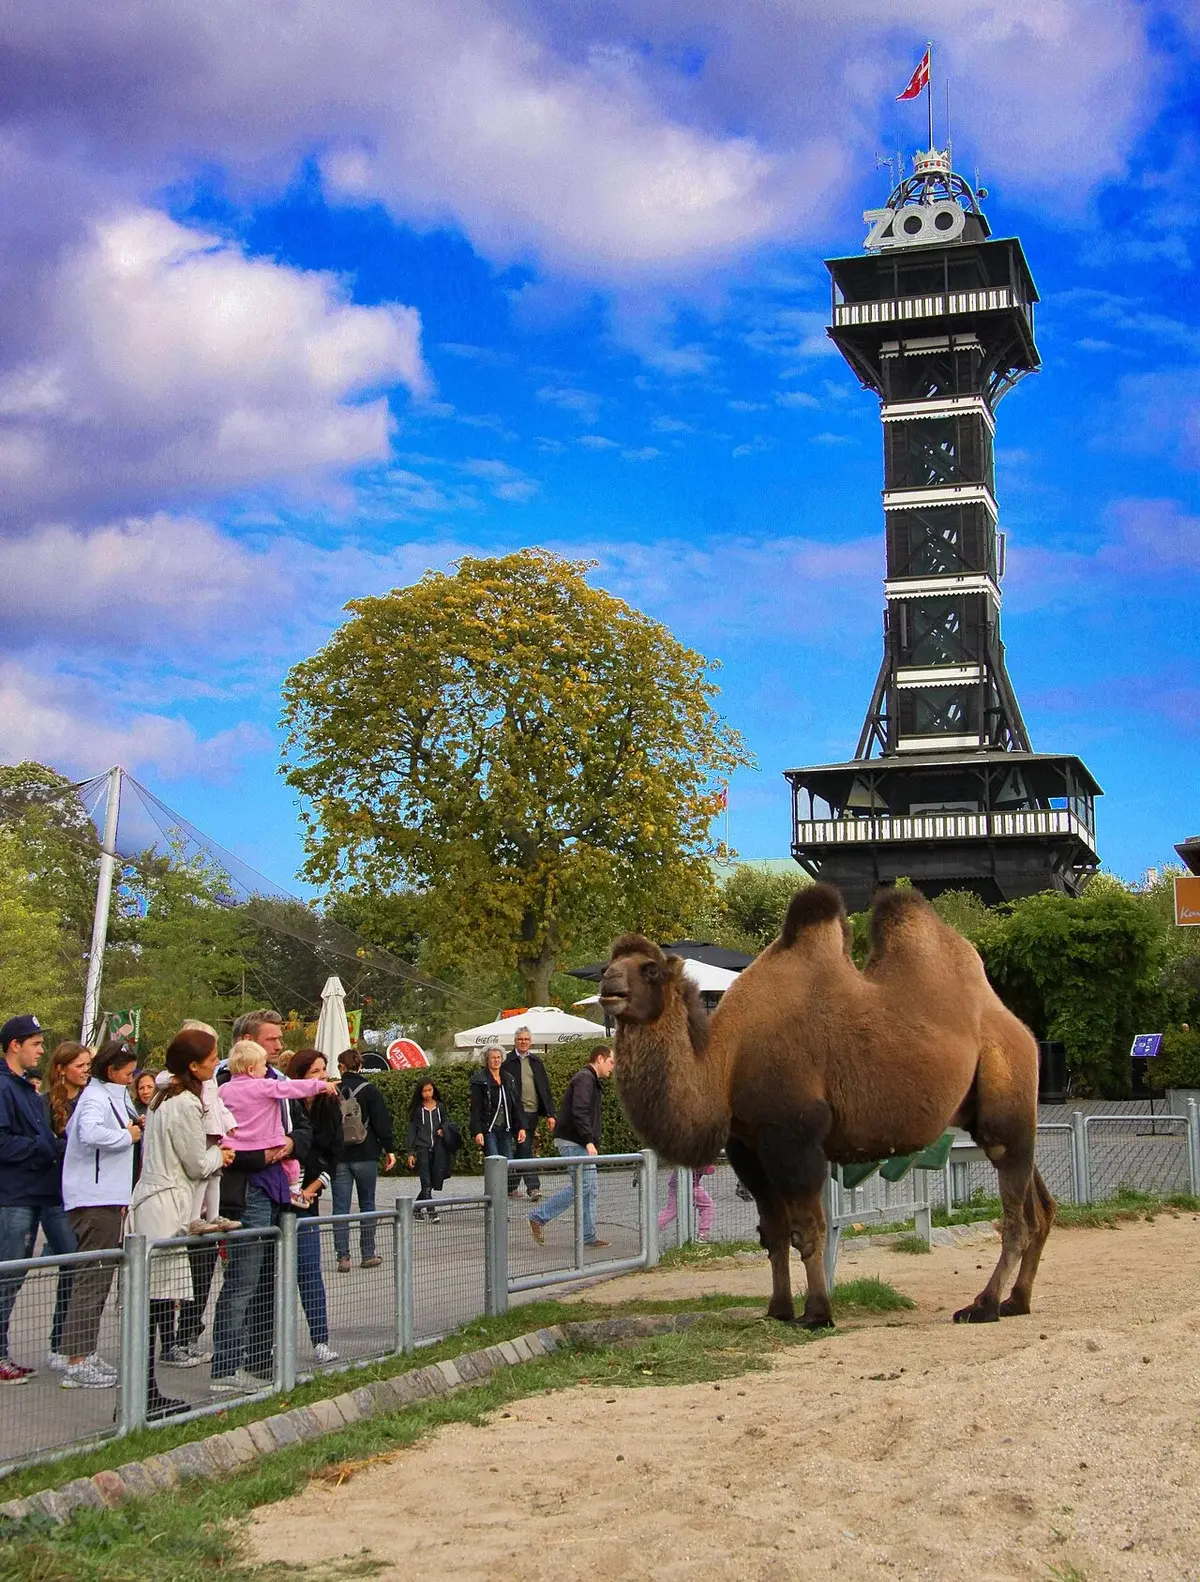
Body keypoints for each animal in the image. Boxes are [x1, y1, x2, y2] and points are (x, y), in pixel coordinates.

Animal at [600, 884, 1054, 1328]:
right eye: (610, 961)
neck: (726, 1061)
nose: (607, 984)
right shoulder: (748, 1146)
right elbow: (773, 1232)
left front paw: (817, 1313)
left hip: (1007, 1088)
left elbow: (807, 1230)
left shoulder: (794, 1137)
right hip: (996, 1116)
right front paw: (778, 1309)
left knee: (1015, 1217)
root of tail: (1020, 1030)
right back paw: (1018, 1301)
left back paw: (984, 1306)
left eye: (650, 969)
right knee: (1040, 1209)